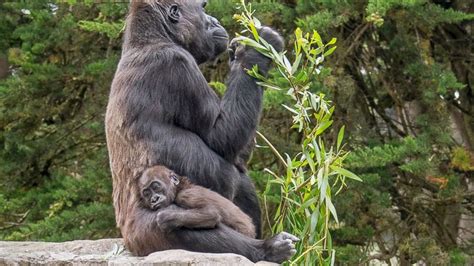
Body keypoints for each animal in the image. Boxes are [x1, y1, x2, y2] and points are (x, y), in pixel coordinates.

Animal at [106, 0, 298, 262]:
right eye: (204, 7)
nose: (214, 20)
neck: (149, 39)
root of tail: (127, 243)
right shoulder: (176, 64)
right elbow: (225, 139)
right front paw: (255, 50)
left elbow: (237, 155)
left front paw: (238, 55)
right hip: (143, 236)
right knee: (185, 224)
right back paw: (266, 249)